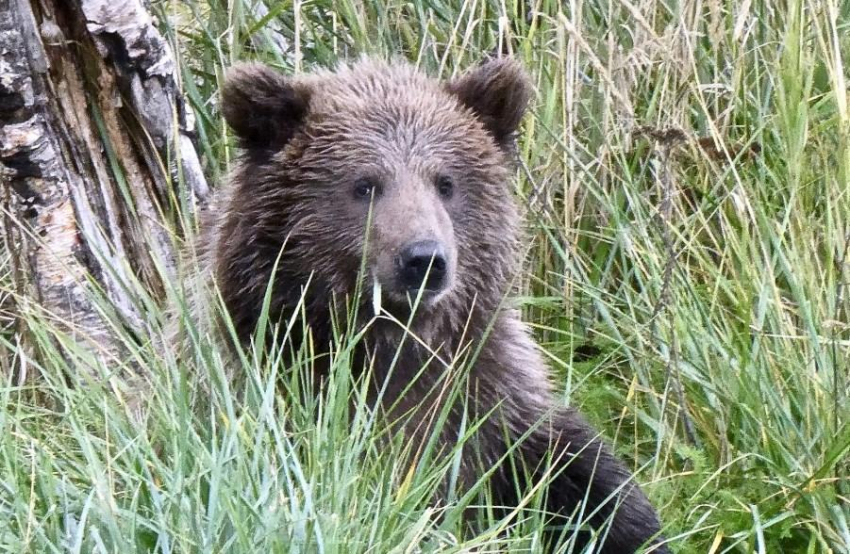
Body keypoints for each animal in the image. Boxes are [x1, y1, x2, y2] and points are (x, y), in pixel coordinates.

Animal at [194, 57, 668, 552]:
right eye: (365, 184)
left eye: (445, 182)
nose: (423, 259)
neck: (394, 338)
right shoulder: (274, 385)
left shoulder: (491, 401)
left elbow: (583, 479)